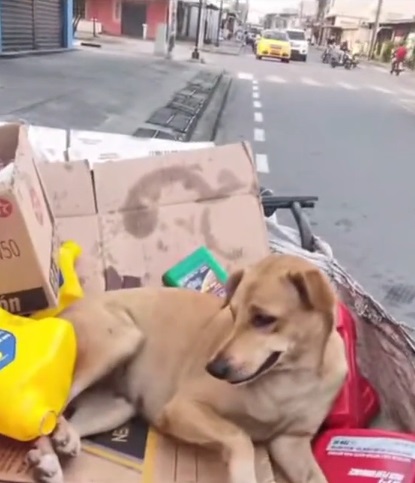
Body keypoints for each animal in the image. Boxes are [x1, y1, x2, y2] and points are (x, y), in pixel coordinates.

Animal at [27, 255, 350, 482]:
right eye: (233, 314)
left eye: (263, 318)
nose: (214, 368)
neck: (290, 377)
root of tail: (60, 312)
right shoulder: (182, 407)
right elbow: (239, 436)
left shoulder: (290, 443)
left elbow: (316, 476)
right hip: (119, 340)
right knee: (49, 407)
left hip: (118, 407)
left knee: (64, 422)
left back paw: (54, 454)